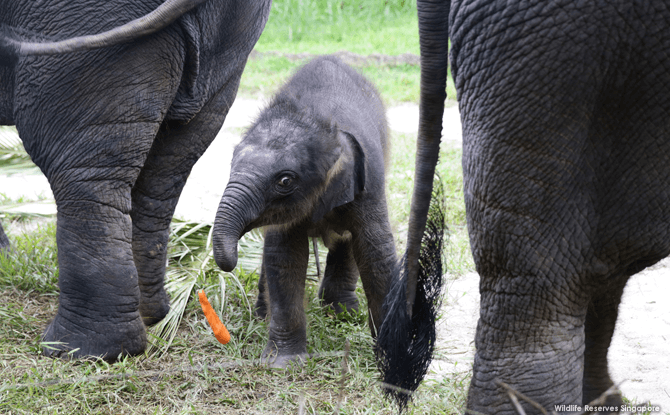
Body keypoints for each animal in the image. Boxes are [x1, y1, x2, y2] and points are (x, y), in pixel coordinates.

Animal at [213, 54, 396, 368]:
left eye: (285, 181)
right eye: (232, 161)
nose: (230, 263)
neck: (321, 117)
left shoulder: (370, 181)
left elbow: (375, 251)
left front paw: (394, 360)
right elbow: (284, 255)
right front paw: (282, 365)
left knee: (348, 241)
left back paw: (342, 313)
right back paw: (263, 315)